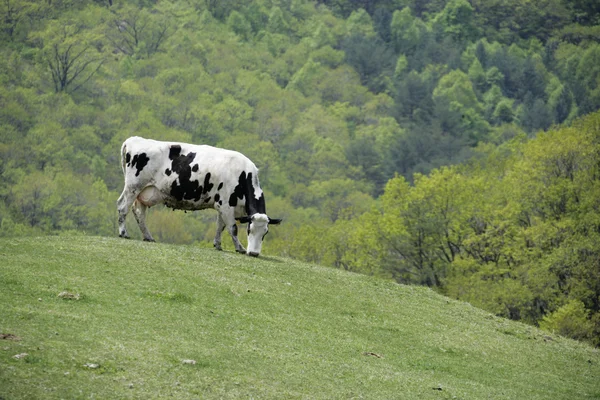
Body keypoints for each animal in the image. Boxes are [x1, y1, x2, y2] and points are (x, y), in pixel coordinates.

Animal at [116, 137, 282, 256]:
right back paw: (124, 233)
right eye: (249, 230)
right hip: (133, 186)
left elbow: (220, 226)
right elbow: (232, 228)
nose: (253, 253)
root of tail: (133, 139)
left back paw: (148, 237)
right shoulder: (226, 205)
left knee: (139, 213)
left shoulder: (222, 206)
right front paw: (240, 248)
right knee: (122, 206)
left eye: (265, 232)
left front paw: (218, 244)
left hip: (143, 192)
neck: (242, 176)